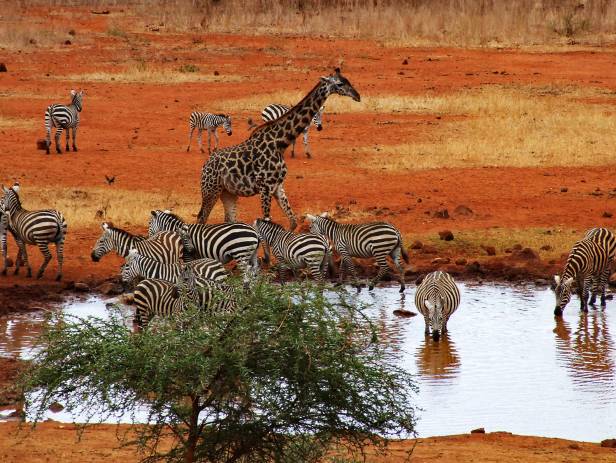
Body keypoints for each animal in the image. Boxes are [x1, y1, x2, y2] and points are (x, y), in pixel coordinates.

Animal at [197, 69, 360, 232]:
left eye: (348, 80)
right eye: (339, 83)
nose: (357, 96)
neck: (280, 143)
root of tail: (205, 164)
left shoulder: (278, 186)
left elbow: (293, 222)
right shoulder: (265, 187)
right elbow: (266, 221)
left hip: (228, 192)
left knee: (229, 219)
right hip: (211, 189)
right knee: (201, 218)